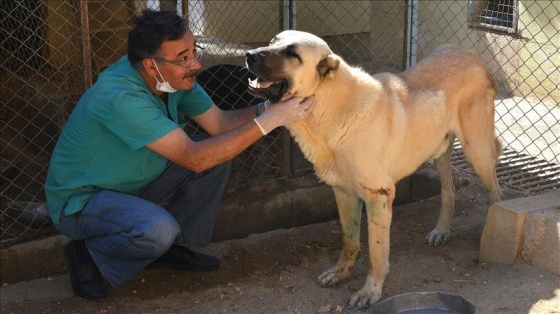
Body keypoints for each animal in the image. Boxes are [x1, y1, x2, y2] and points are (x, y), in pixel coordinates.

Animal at [245, 30, 504, 310]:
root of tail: (473, 54)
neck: (331, 106)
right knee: (449, 191)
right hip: (440, 152)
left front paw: (370, 291)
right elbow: (349, 242)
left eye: (292, 53)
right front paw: (341, 273)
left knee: (496, 194)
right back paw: (442, 231)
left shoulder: (379, 196)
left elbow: (377, 254)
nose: (248, 55)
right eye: (273, 41)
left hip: (477, 151)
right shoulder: (344, 193)